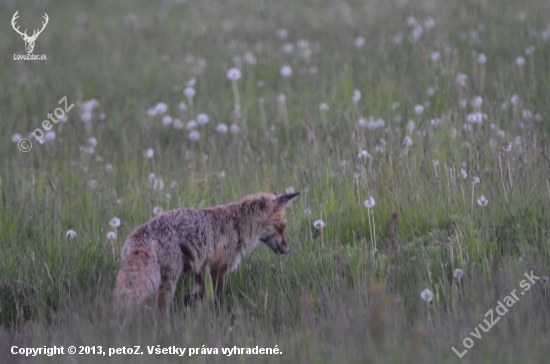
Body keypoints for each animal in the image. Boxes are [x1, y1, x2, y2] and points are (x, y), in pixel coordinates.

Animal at [113, 192, 300, 314]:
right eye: (282, 227)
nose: (288, 249)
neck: (237, 225)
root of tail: (141, 236)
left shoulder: (197, 267)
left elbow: (201, 291)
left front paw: (189, 300)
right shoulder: (218, 268)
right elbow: (217, 296)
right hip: (169, 281)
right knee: (160, 309)